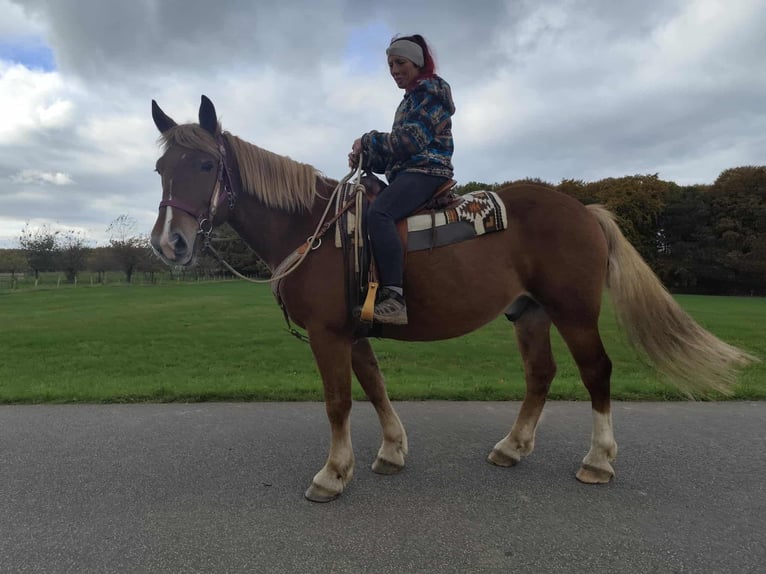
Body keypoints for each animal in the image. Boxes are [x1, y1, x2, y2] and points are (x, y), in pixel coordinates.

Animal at [149, 95, 754, 502]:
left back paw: (599, 461)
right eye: (160, 168)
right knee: (541, 374)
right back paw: (512, 447)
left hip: (574, 312)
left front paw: (333, 473)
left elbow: (339, 402)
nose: (169, 243)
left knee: (596, 372)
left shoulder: (328, 335)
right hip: (529, 313)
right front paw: (391, 451)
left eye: (206, 165)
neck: (314, 228)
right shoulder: (354, 333)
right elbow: (375, 387)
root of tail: (585, 210)